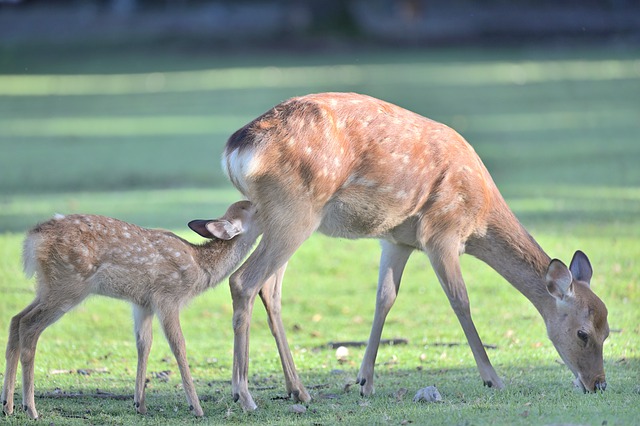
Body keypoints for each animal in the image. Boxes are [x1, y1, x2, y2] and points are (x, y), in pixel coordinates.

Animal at [3, 201, 258, 420]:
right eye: (253, 207)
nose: (261, 203)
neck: (199, 267)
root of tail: (33, 238)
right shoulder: (167, 296)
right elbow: (178, 345)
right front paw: (196, 407)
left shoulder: (142, 303)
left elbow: (144, 343)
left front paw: (140, 404)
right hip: (69, 284)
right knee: (28, 325)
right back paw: (30, 409)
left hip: (46, 287)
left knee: (15, 319)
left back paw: (8, 405)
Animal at [221, 92, 608, 410]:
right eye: (582, 333)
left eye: (608, 330)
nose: (598, 384)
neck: (480, 216)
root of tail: (235, 151)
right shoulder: (442, 232)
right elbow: (460, 301)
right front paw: (493, 378)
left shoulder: (398, 239)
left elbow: (385, 298)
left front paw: (365, 381)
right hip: (295, 211)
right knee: (244, 281)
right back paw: (244, 395)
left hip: (278, 215)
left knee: (270, 290)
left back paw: (298, 390)